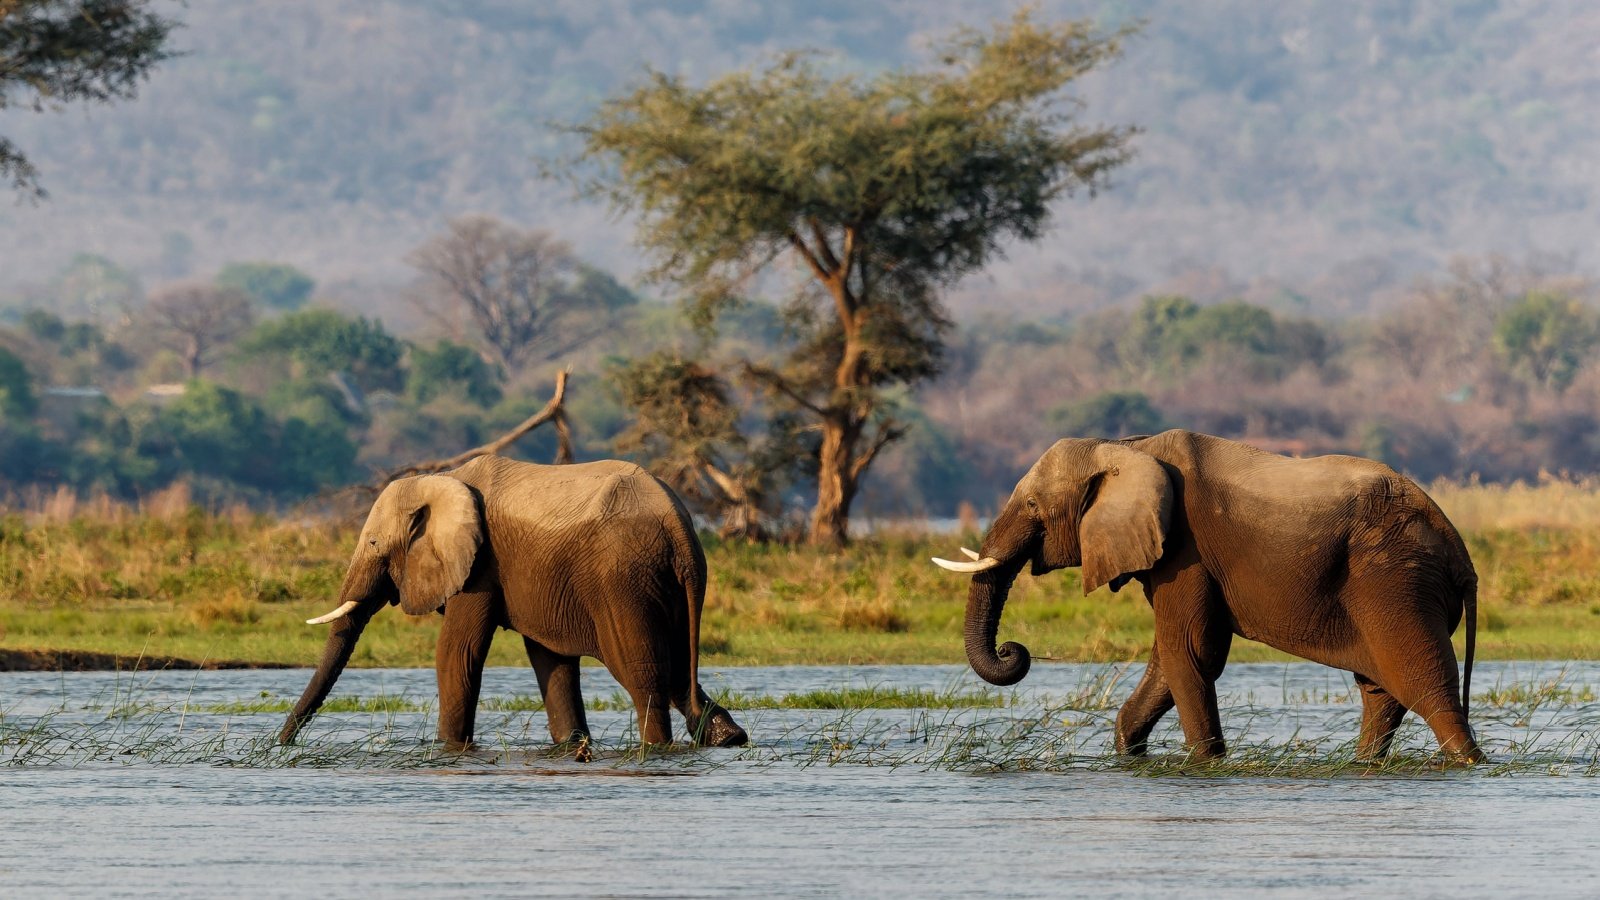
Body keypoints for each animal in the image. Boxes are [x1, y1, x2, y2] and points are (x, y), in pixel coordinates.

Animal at [278, 454, 745, 749]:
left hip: (624, 580)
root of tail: (679, 526)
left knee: (643, 674)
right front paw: (571, 746)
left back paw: (659, 748)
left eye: (374, 543)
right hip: (667, 584)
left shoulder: (481, 566)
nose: (280, 746)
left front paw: (448, 749)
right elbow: (551, 661)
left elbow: (457, 653)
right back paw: (728, 738)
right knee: (679, 671)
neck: (444, 478)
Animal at [934, 425, 1478, 755]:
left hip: (1395, 580)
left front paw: (1205, 764)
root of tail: (1461, 555)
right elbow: (1169, 657)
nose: (1014, 650)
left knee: (1426, 689)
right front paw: (1130, 752)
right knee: (1382, 693)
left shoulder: (1186, 548)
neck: (1126, 446)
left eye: (1032, 505)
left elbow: (1189, 650)